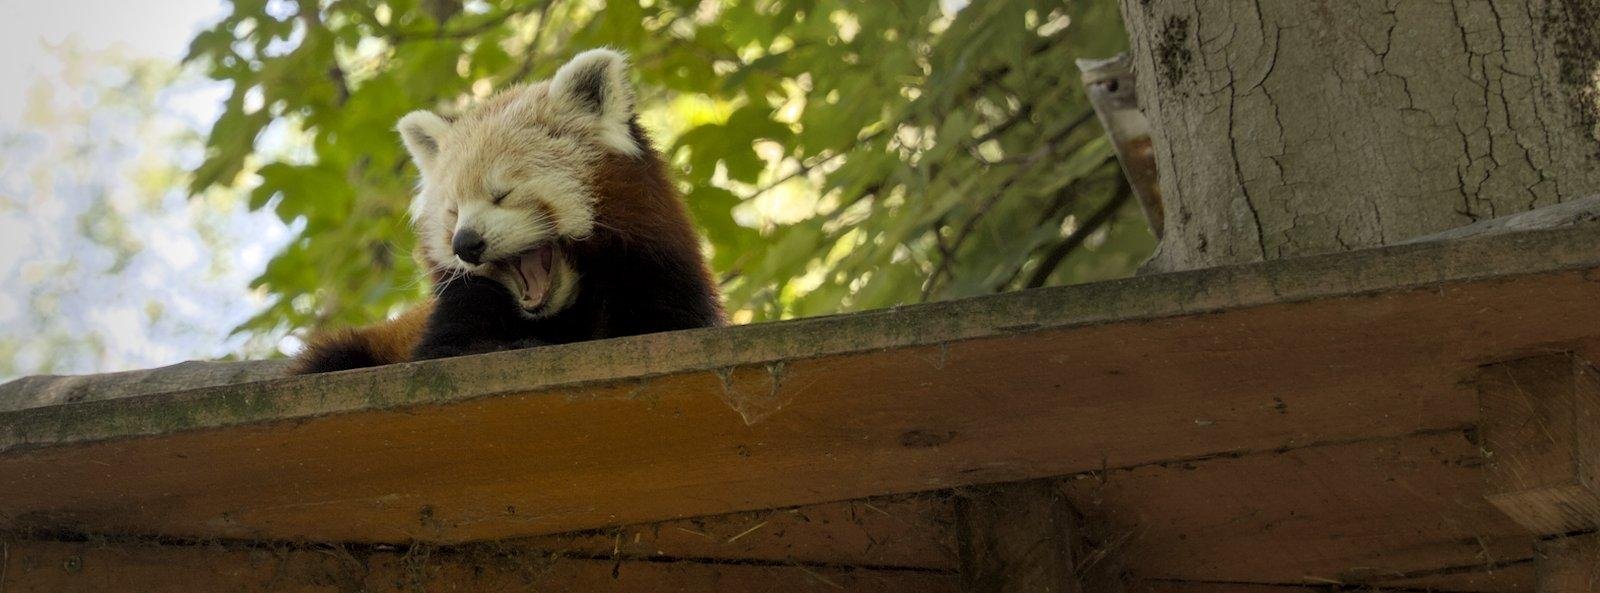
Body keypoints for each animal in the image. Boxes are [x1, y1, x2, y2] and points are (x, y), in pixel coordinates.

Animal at [291, 49, 724, 374]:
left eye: (502, 194)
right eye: (454, 212)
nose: (466, 244)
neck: (559, 312)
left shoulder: (659, 279)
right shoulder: (454, 313)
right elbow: (454, 348)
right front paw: (514, 344)